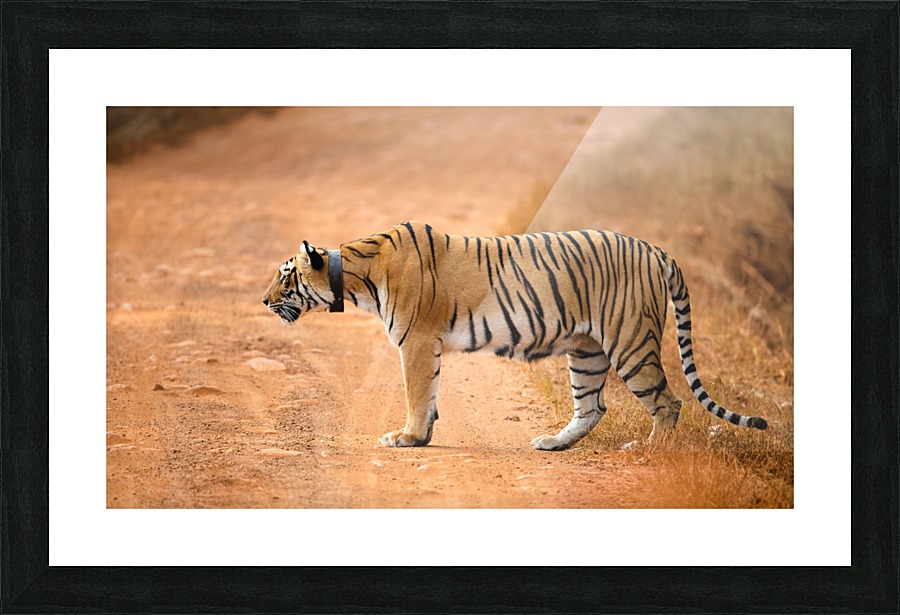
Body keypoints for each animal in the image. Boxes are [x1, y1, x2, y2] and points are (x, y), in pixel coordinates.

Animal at [262, 220, 767, 450]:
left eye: (285, 278)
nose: (264, 302)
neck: (355, 275)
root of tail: (656, 249)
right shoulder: (428, 346)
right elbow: (430, 396)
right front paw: (421, 437)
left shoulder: (416, 342)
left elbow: (416, 393)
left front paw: (405, 437)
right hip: (587, 352)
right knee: (593, 407)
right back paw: (553, 443)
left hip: (630, 344)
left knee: (668, 402)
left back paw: (648, 451)